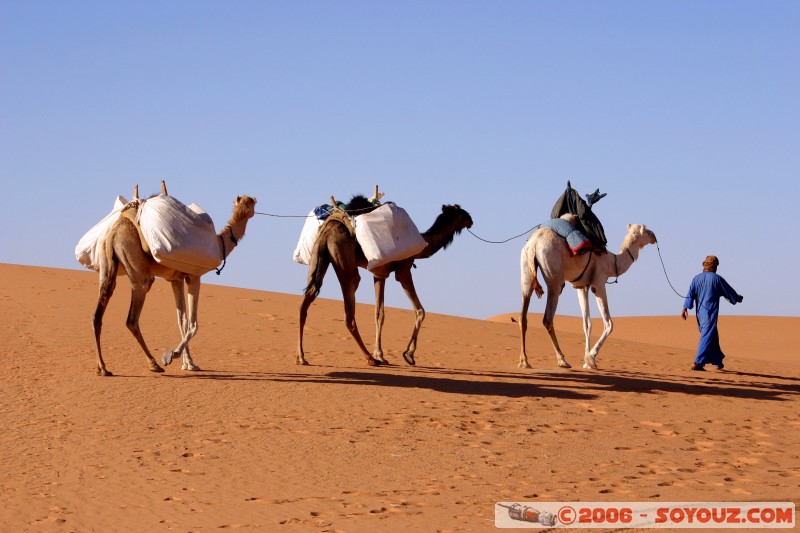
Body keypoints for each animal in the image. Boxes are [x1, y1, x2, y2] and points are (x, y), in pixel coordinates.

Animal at [92, 188, 256, 376]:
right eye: (251, 203)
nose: (250, 209)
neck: (219, 244)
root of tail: (114, 233)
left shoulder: (176, 279)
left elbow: (181, 320)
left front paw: (188, 363)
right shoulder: (194, 276)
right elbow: (193, 323)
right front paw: (173, 356)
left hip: (105, 263)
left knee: (98, 312)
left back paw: (103, 368)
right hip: (136, 264)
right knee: (132, 318)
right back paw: (154, 364)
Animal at [297, 202, 473, 366]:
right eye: (461, 212)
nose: (471, 220)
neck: (424, 244)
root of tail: (328, 231)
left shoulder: (379, 274)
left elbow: (379, 313)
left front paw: (381, 354)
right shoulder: (403, 270)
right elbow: (420, 310)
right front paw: (408, 355)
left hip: (318, 256)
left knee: (305, 303)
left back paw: (301, 357)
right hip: (345, 260)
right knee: (349, 314)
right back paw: (370, 358)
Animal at [518, 221, 657, 370]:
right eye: (647, 231)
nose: (654, 237)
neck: (612, 262)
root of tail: (534, 243)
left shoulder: (582, 286)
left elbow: (587, 324)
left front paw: (586, 361)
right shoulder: (599, 283)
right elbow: (609, 324)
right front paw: (591, 359)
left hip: (526, 267)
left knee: (523, 315)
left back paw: (524, 361)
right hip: (553, 272)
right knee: (548, 317)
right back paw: (562, 360)